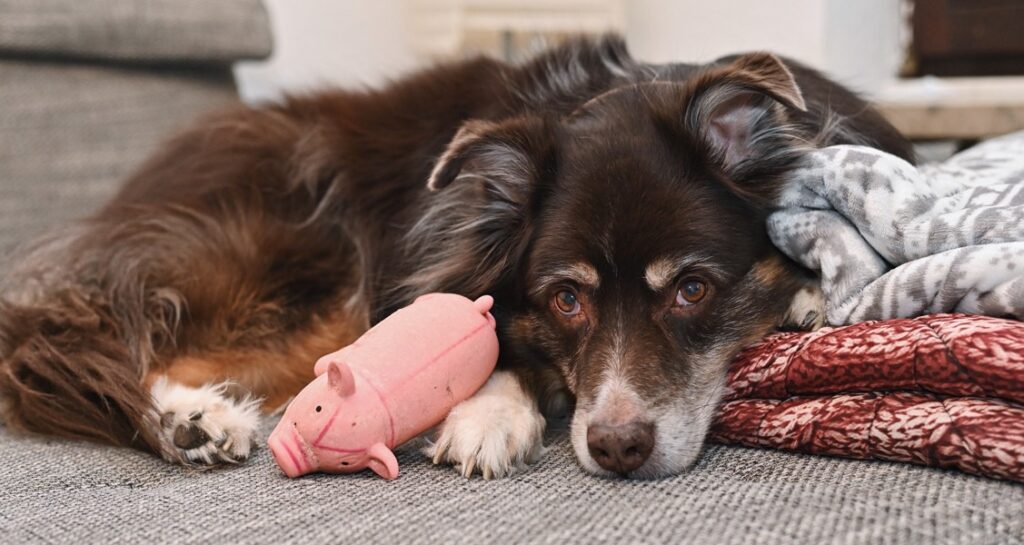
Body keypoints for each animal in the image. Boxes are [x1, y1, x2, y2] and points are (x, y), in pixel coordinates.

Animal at [0, 37, 913, 477]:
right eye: (567, 299)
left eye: (692, 288)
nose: (617, 448)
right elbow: (494, 333)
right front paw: (487, 414)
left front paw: (809, 293)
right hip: (319, 263)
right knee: (96, 341)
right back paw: (193, 418)